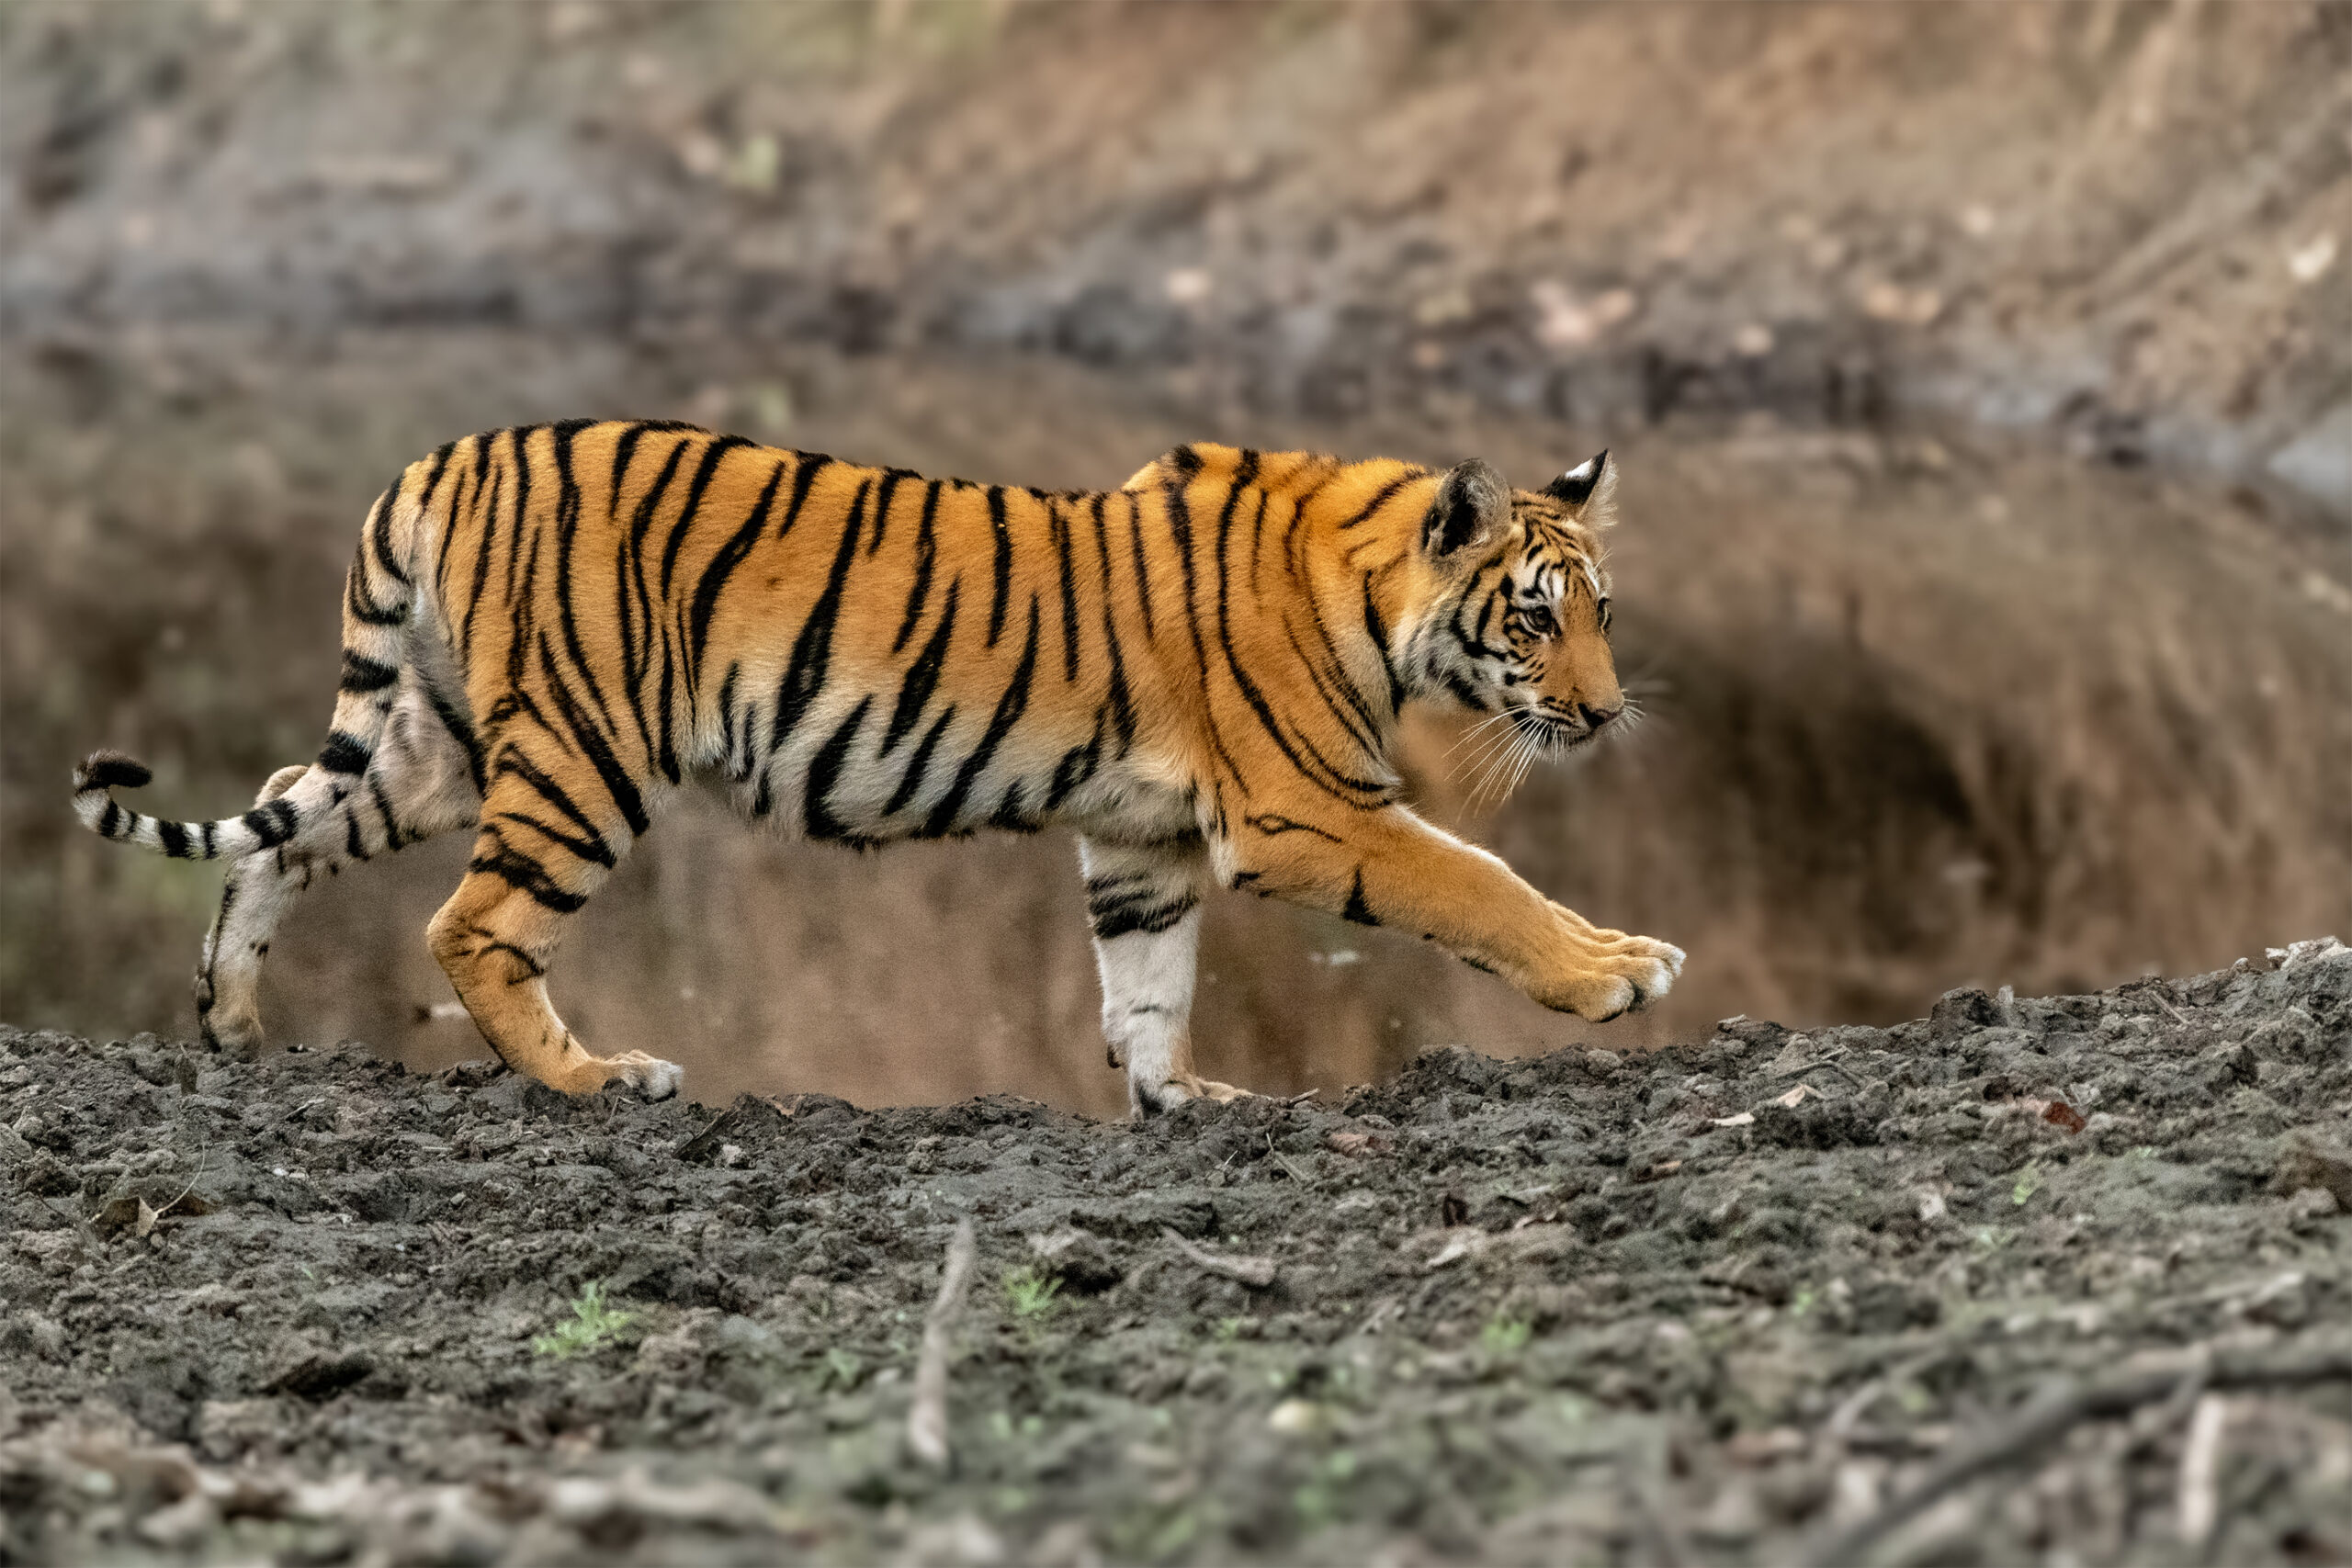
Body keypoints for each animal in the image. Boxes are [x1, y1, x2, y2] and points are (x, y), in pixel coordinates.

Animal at [73, 425, 1683, 1114]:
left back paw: (231, 1024)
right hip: (584, 757)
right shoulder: (1307, 811)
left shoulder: (1142, 845)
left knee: (284, 833)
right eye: (1537, 615)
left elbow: (1146, 985)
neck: (1365, 587)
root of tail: (435, 460)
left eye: (1607, 608)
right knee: (470, 926)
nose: (1609, 716)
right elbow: (1480, 882)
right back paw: (599, 1075)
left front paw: (1187, 1098)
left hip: (439, 739)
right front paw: (1618, 969)